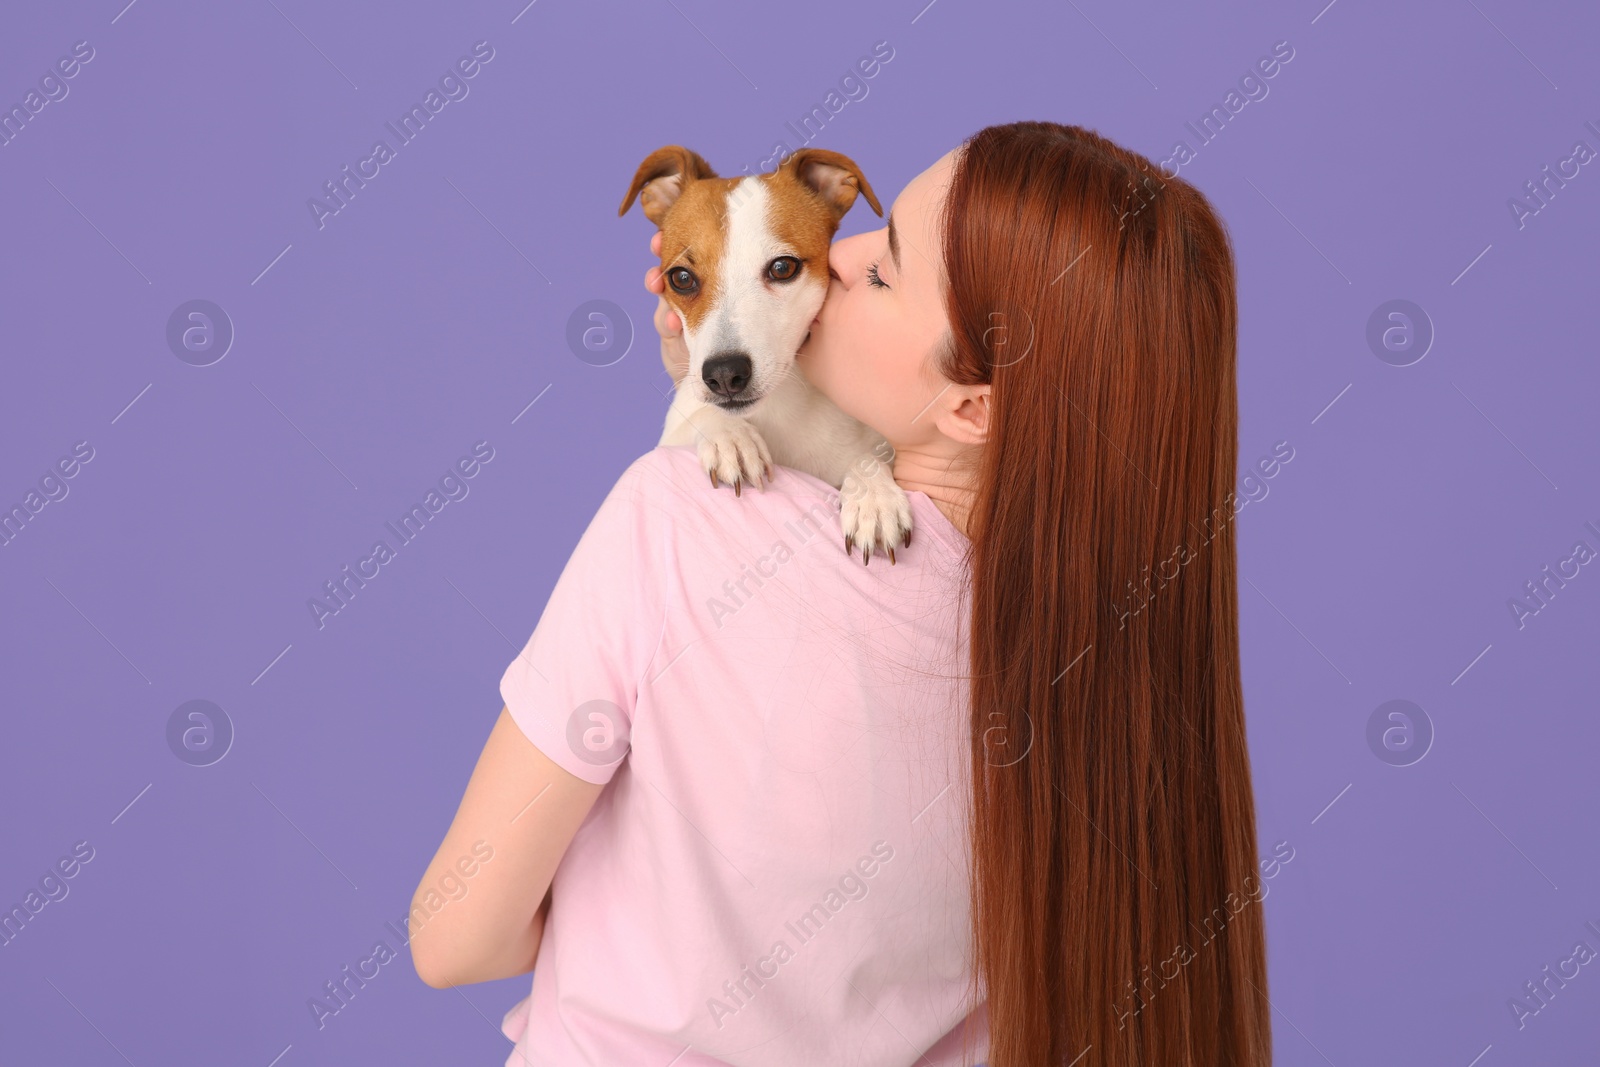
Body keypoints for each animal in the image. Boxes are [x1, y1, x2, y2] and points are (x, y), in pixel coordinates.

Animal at [617, 150, 915, 572]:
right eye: (681, 278)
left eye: (782, 267)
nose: (724, 374)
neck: (781, 409)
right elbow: (702, 413)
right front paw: (730, 437)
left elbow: (869, 458)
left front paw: (874, 496)